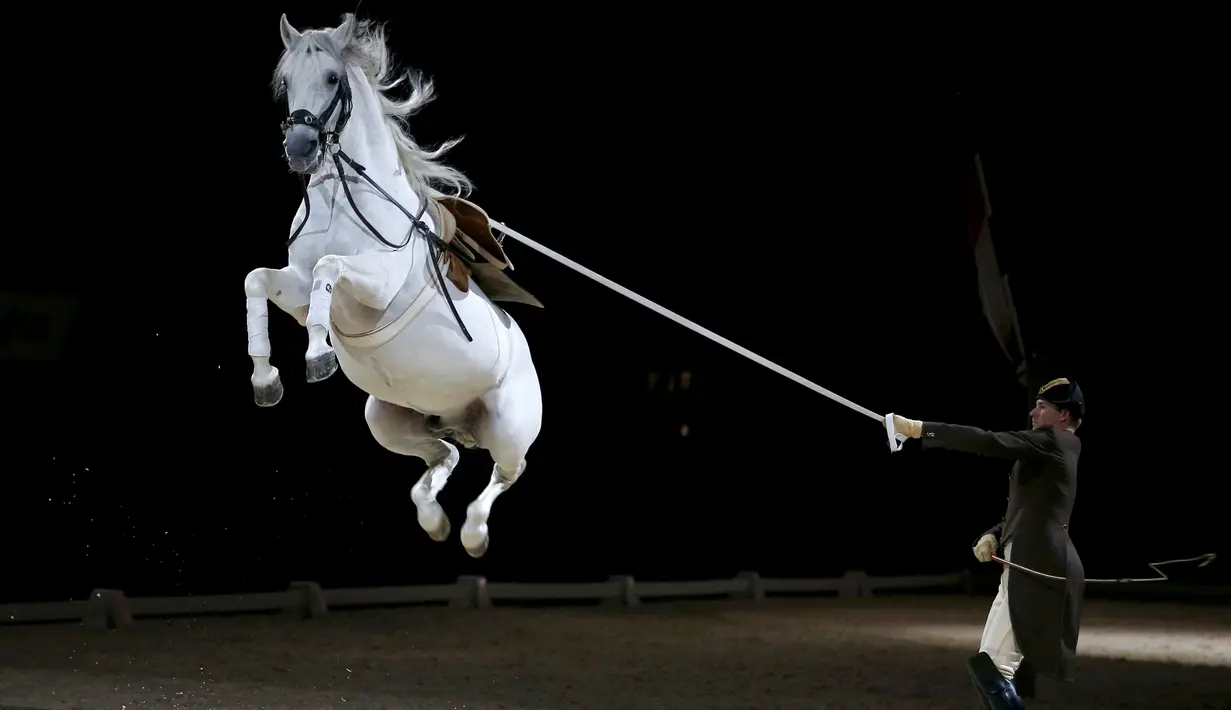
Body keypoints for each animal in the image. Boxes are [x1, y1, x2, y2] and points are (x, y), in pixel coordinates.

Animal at [242, 8, 541, 556]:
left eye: (332, 78)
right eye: (286, 81)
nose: (300, 148)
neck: (342, 199)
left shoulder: (376, 285)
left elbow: (329, 268)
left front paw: (318, 358)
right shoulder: (294, 292)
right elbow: (259, 281)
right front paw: (266, 379)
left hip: (509, 426)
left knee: (506, 472)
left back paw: (473, 533)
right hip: (387, 422)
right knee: (446, 455)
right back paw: (434, 520)